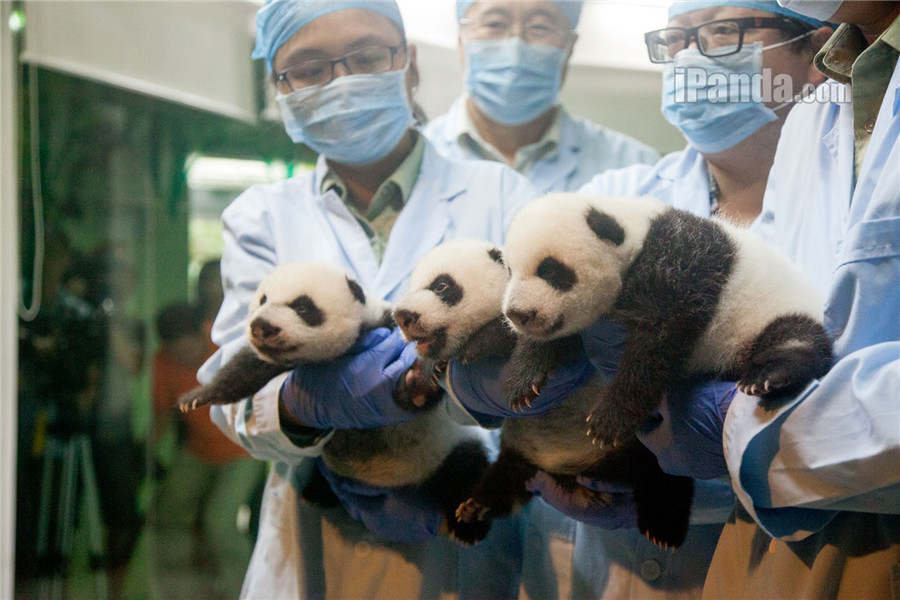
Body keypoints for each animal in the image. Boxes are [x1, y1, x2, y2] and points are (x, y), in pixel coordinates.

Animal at [178, 261, 492, 545]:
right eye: (262, 300)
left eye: (303, 307)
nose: (261, 326)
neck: (331, 356)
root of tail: (402, 484)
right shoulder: (277, 362)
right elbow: (244, 369)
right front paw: (196, 397)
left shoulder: (383, 324)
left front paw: (419, 382)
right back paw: (318, 492)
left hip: (446, 448)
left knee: (466, 470)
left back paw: (468, 525)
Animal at [394, 239, 695, 549]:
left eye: (441, 286)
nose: (402, 316)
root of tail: (579, 472)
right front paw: (420, 378)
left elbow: (546, 333)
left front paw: (479, 345)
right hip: (521, 455)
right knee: (505, 482)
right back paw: (475, 507)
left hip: (635, 443)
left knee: (663, 473)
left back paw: (662, 528)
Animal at [501, 193, 834, 447]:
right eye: (511, 270)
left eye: (551, 271)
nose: (518, 314)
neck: (637, 236)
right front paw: (523, 381)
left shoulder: (679, 267)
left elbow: (659, 342)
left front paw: (609, 419)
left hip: (778, 311)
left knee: (796, 338)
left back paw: (767, 376)